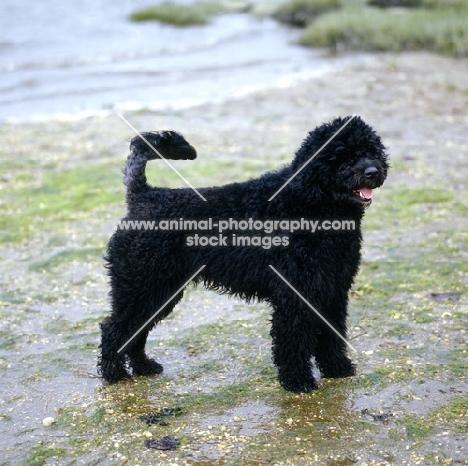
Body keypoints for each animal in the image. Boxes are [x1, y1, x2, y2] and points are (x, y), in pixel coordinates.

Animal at [98, 115, 388, 394]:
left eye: (372, 150)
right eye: (342, 154)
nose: (373, 171)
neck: (309, 203)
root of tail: (142, 196)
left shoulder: (332, 290)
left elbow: (331, 334)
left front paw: (337, 367)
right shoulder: (294, 295)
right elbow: (293, 340)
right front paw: (297, 381)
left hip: (158, 291)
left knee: (136, 332)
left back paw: (143, 366)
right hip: (142, 288)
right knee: (113, 329)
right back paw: (114, 373)